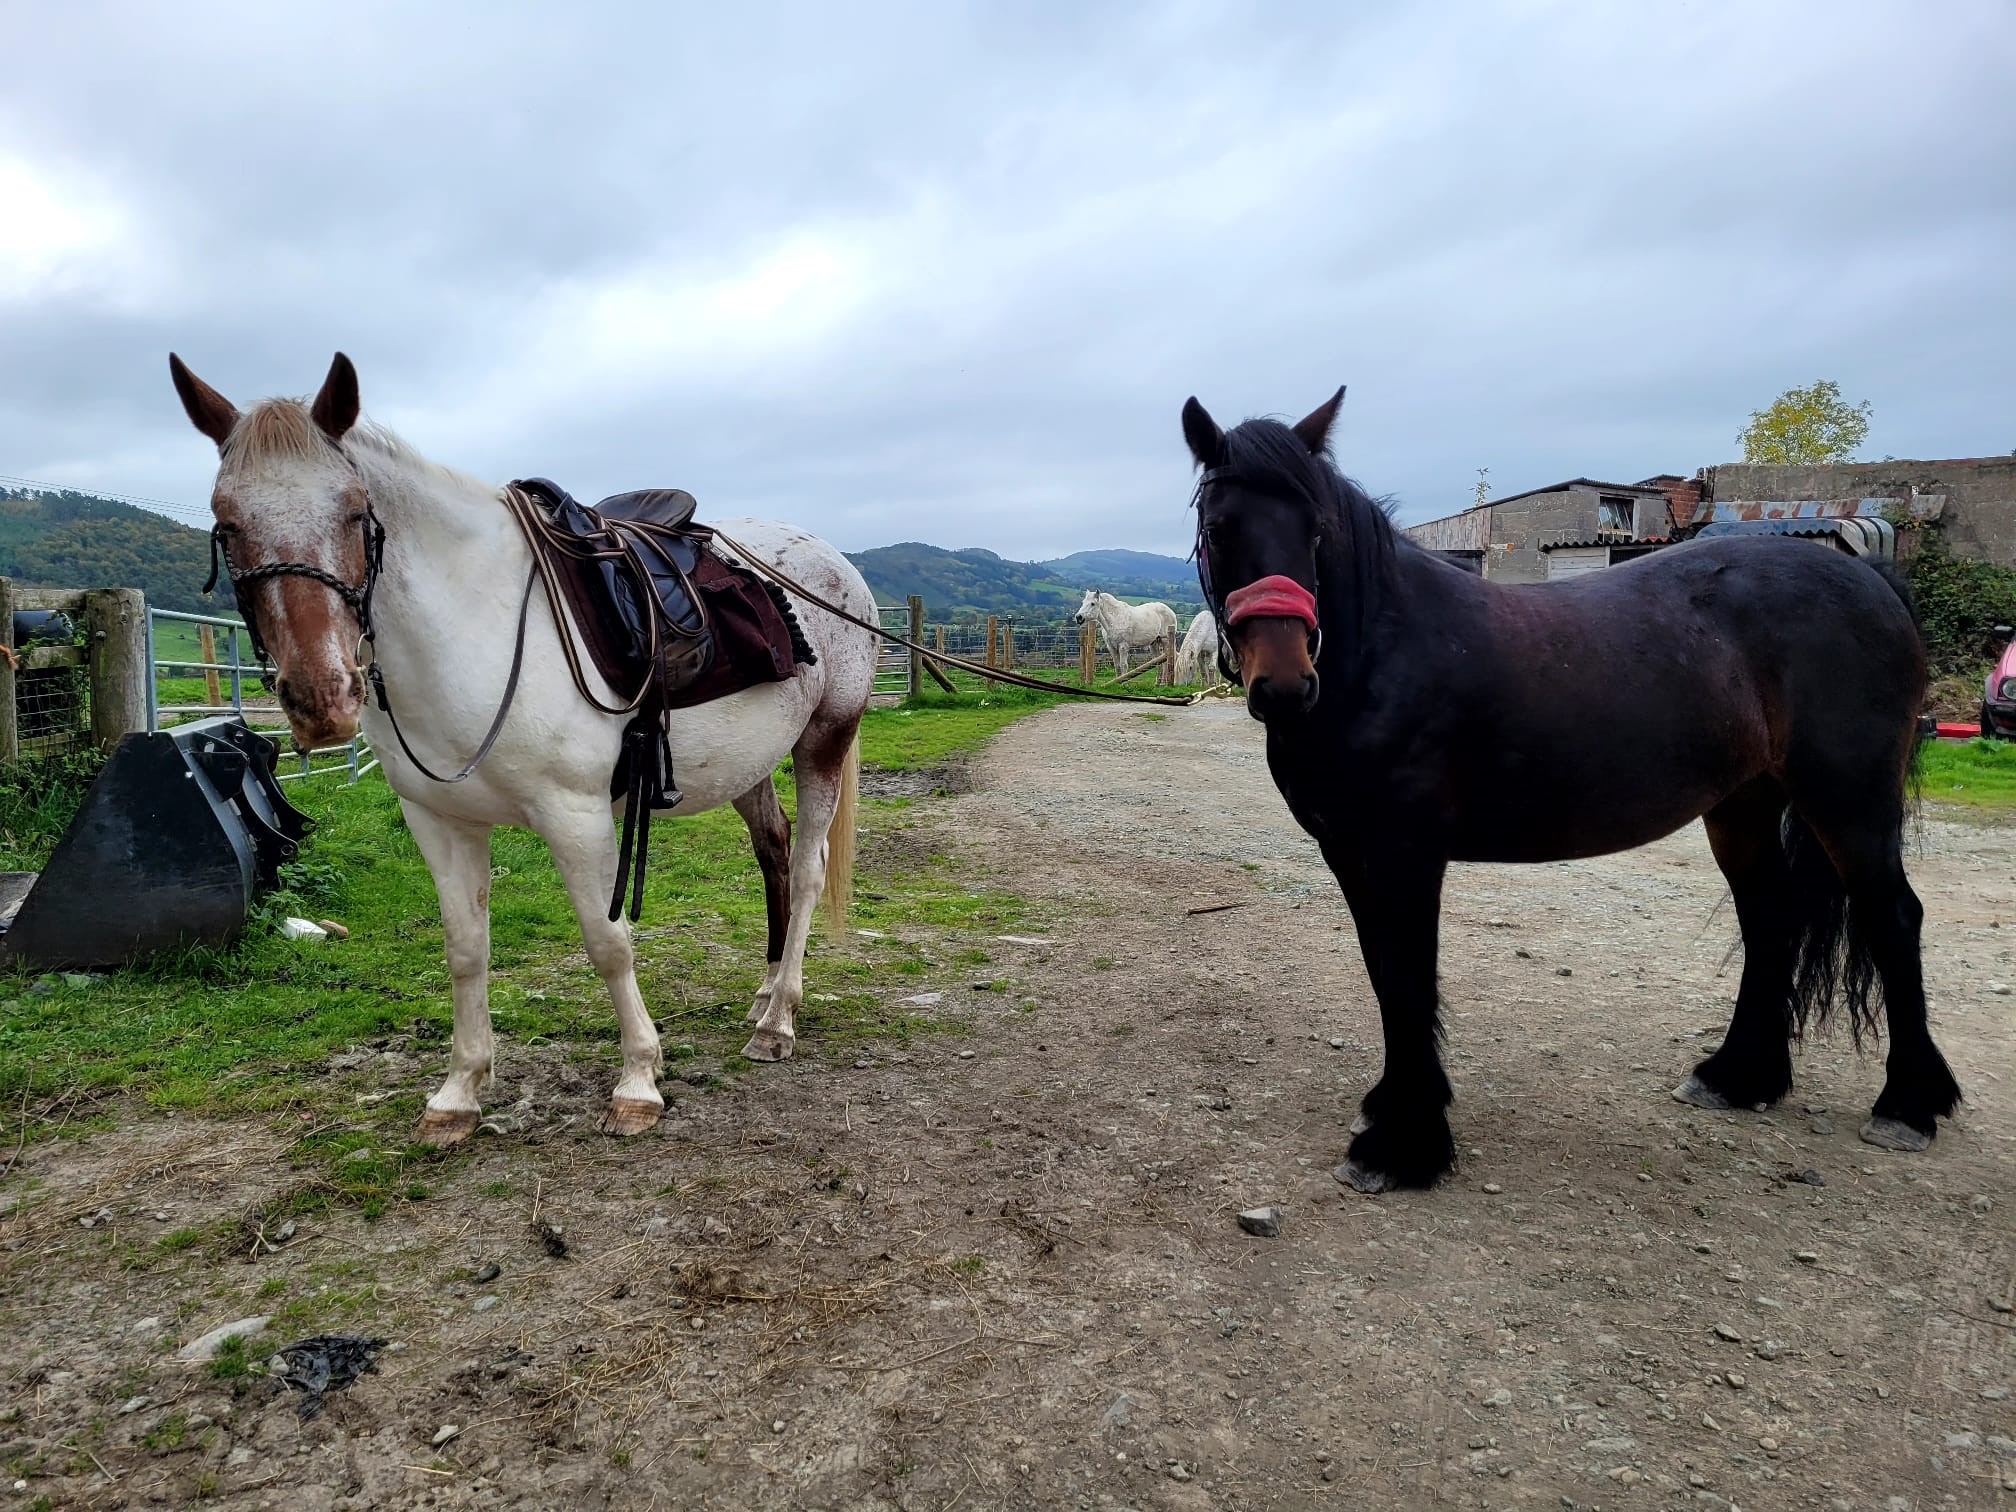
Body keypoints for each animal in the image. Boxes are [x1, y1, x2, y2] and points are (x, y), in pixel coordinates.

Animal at [170, 352, 878, 1144]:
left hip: (824, 740)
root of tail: (830, 562)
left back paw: (778, 1020)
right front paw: (458, 1093)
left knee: (810, 869)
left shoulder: (575, 816)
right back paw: (764, 993)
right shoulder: (440, 822)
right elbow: (466, 948)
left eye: (355, 510)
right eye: (226, 523)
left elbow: (609, 943)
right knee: (775, 853)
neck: (470, 622)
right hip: (749, 765)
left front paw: (639, 1080)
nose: (322, 699)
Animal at [1181, 386, 1962, 1193]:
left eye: (1317, 529)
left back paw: (1907, 1105)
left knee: (1893, 918)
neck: (1381, 651)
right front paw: (1395, 1115)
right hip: (1744, 806)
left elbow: (1407, 976)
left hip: (1849, 801)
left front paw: (1404, 1143)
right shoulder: (1349, 852)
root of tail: (1873, 582)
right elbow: (1383, 974)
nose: (1284, 685)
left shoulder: (1405, 853)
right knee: (1769, 917)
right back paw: (1740, 1076)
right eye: (1218, 528)